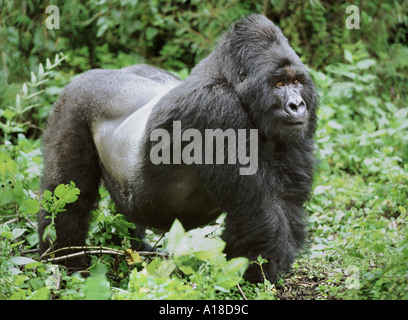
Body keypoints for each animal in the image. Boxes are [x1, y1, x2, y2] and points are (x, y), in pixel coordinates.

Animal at [38, 14, 318, 282]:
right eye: (278, 84)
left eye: (296, 82)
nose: (297, 105)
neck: (227, 79)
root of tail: (87, 75)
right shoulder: (218, 108)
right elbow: (258, 208)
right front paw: (258, 272)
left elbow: (286, 200)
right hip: (72, 102)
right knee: (66, 194)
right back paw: (64, 259)